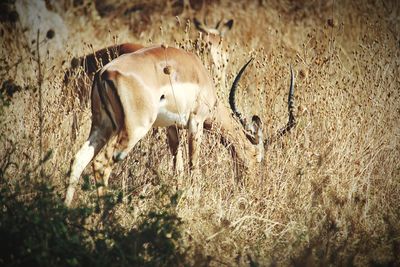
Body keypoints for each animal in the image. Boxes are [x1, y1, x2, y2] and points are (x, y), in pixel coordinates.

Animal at [64, 45, 296, 207]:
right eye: (258, 158)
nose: (253, 188)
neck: (201, 77)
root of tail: (104, 72)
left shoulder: (172, 128)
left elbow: (178, 167)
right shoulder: (196, 122)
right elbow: (193, 166)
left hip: (102, 126)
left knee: (78, 160)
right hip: (133, 130)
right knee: (101, 164)